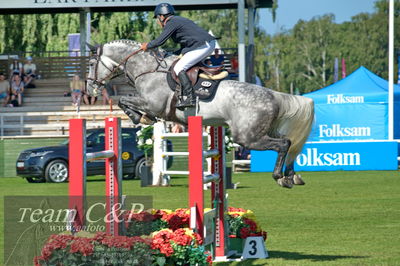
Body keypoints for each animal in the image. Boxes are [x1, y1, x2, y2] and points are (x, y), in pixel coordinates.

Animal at [86, 40, 314, 189]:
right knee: (290, 143)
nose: (91, 90)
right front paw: (141, 118)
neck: (148, 69)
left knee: (283, 144)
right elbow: (124, 101)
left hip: (248, 137)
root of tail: (274, 95)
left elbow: (123, 101)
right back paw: (292, 175)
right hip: (263, 131)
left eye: (90, 64)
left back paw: (281, 177)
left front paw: (138, 117)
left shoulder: (153, 104)